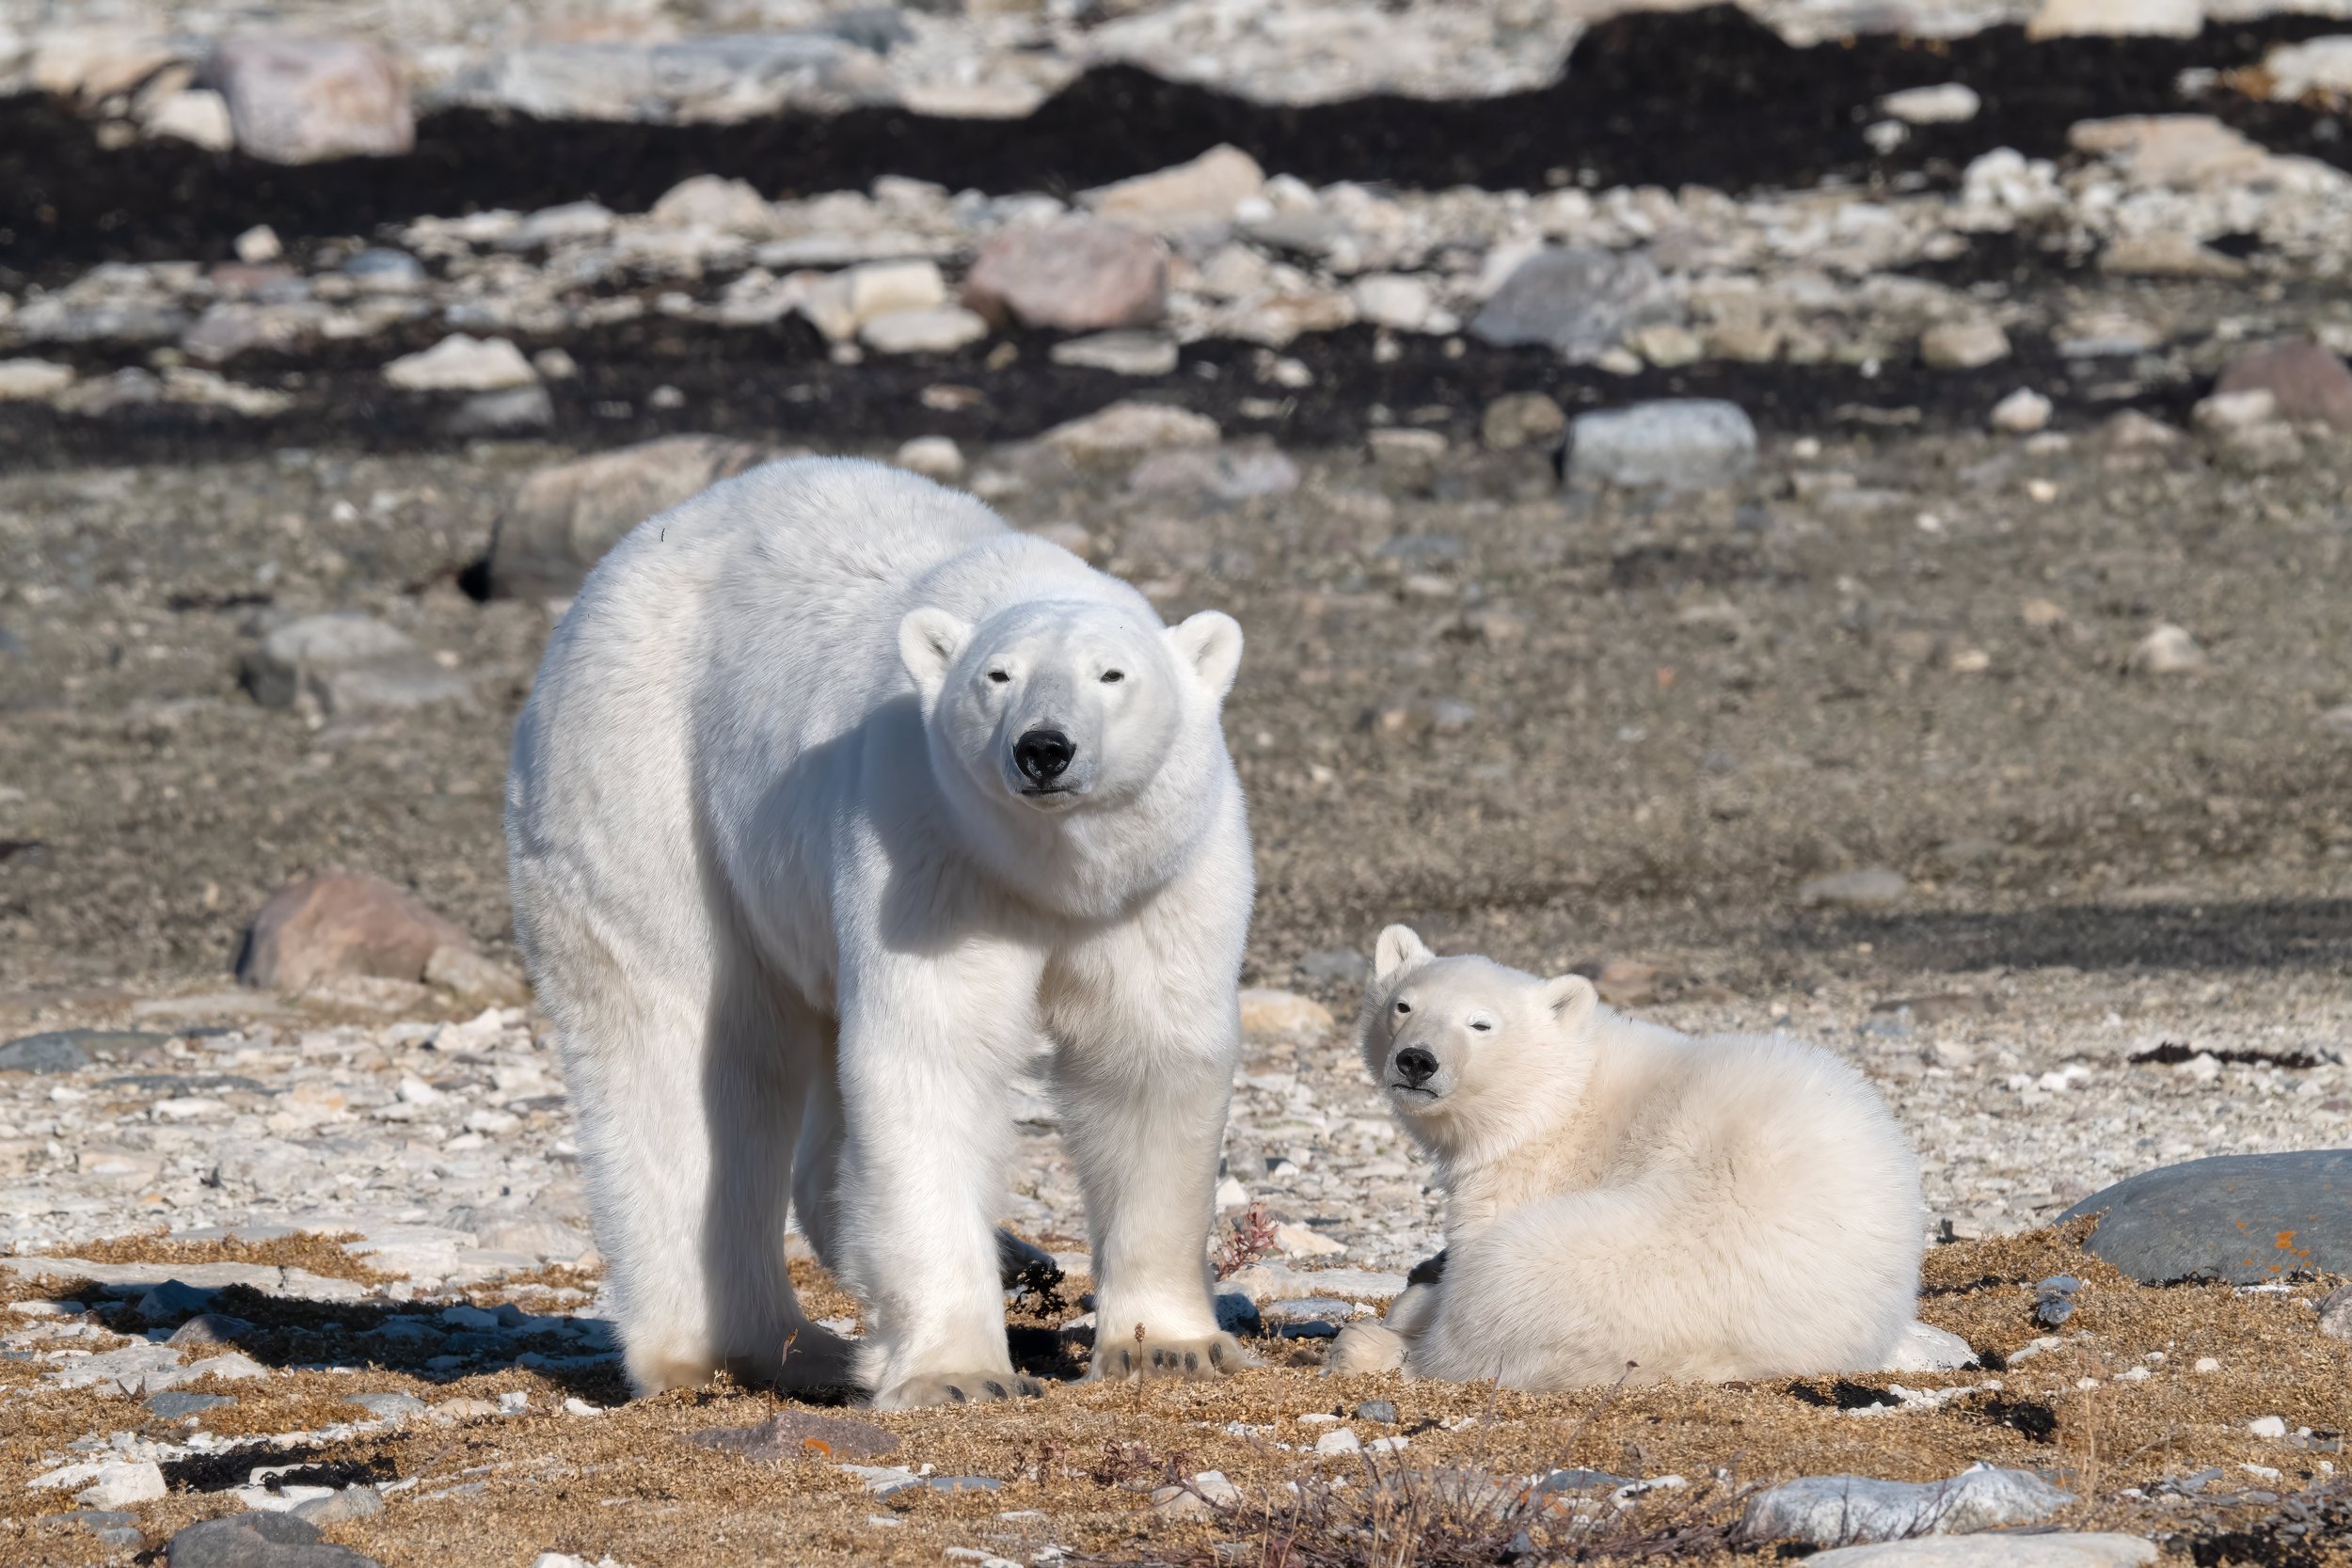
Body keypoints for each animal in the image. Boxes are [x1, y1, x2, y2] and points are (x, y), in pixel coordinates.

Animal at [505, 457, 1255, 1409]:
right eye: (996, 675)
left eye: (1113, 673)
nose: (1043, 748)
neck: (1051, 873)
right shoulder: (927, 850)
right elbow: (930, 1059)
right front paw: (958, 1375)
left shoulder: (1159, 883)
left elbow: (1152, 1056)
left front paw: (1170, 1346)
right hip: (645, 781)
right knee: (691, 1053)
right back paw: (759, 1346)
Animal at [1325, 926, 1967, 1389]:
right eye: (1403, 1005)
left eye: (1481, 1023)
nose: (1417, 1060)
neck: (1559, 1096)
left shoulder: (1528, 1169)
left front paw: (1410, 1306)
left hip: (1620, 1265)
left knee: (1488, 1305)